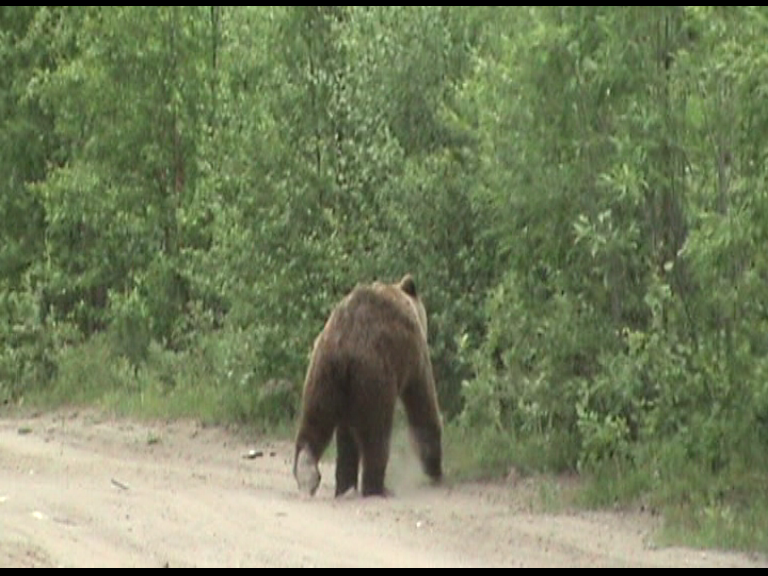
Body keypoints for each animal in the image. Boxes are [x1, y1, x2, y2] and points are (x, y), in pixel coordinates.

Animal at [292, 274, 440, 496]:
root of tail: (343, 349)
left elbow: (345, 437)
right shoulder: (415, 355)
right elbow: (423, 404)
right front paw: (435, 469)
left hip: (323, 374)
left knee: (315, 420)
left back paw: (310, 474)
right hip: (375, 375)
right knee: (376, 434)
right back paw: (377, 487)